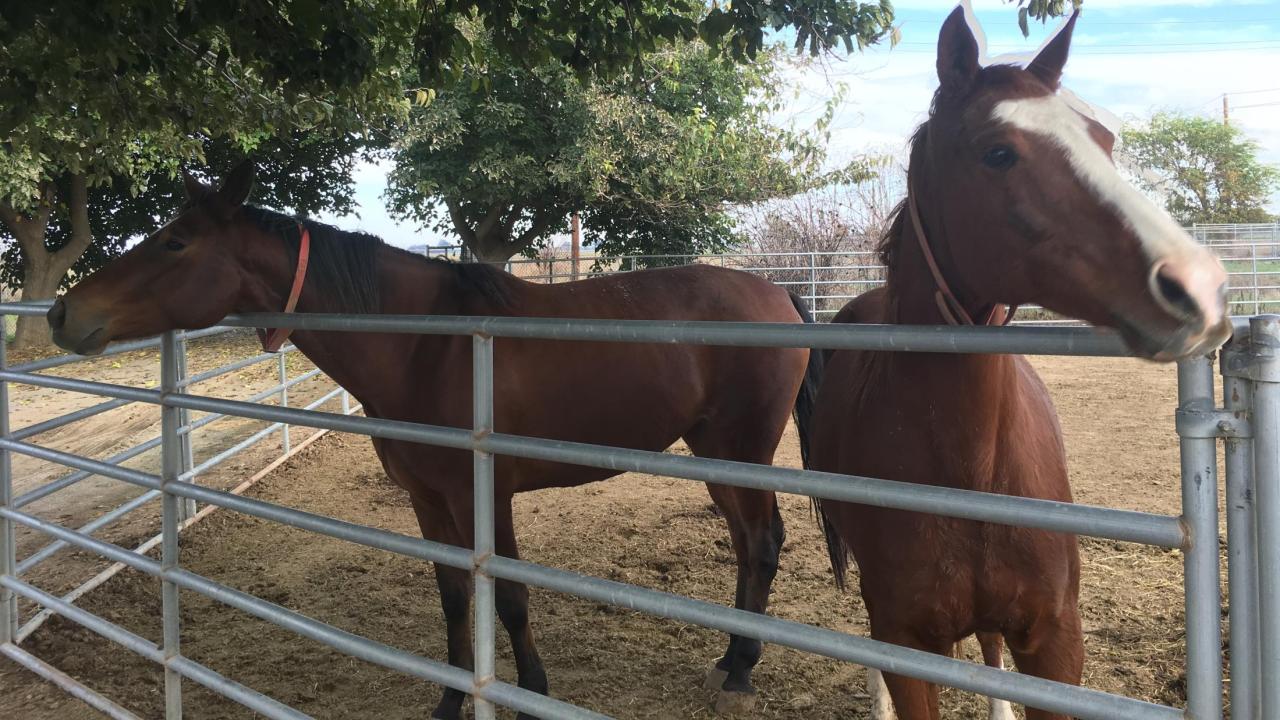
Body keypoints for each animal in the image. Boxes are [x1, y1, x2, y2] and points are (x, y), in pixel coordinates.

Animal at [47, 163, 819, 717]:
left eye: (176, 241)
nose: (61, 313)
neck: (428, 344)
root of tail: (776, 294)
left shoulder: (487, 495)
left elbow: (509, 597)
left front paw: (531, 691)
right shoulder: (426, 499)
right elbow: (452, 595)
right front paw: (451, 698)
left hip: (741, 449)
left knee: (762, 542)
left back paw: (741, 670)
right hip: (715, 454)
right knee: (749, 543)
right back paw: (731, 657)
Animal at [803, 9, 1233, 717]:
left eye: (1104, 140)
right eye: (998, 152)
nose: (1198, 286)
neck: (971, 468)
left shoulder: (1055, 645)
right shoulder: (907, 645)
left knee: (990, 644)